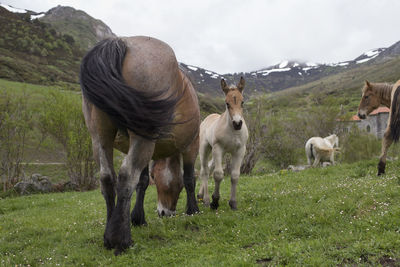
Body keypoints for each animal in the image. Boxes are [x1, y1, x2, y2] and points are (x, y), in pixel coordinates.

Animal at [79, 36, 200, 255]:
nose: (164, 212)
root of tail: (120, 43)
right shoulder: (191, 146)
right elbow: (189, 178)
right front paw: (193, 209)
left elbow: (142, 182)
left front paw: (138, 218)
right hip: (143, 138)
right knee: (126, 176)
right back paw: (120, 239)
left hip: (100, 136)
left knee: (107, 178)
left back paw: (109, 233)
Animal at [196, 77, 248, 211]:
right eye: (227, 103)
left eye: (242, 102)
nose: (237, 123)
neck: (233, 132)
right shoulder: (218, 148)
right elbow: (218, 174)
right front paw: (215, 201)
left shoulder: (240, 150)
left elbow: (235, 175)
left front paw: (233, 203)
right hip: (205, 149)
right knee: (204, 171)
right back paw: (206, 200)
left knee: (209, 167)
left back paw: (200, 195)